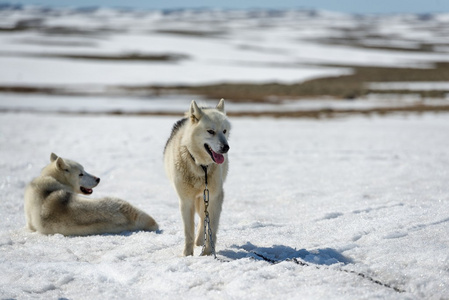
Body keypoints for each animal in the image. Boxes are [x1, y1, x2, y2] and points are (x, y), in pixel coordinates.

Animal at [163, 98, 229, 255]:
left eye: (224, 131)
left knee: (203, 219)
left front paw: (207, 253)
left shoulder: (215, 196)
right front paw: (187, 255)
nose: (226, 147)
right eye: (210, 131)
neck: (201, 166)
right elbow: (188, 233)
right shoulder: (186, 201)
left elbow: (211, 226)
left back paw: (201, 242)